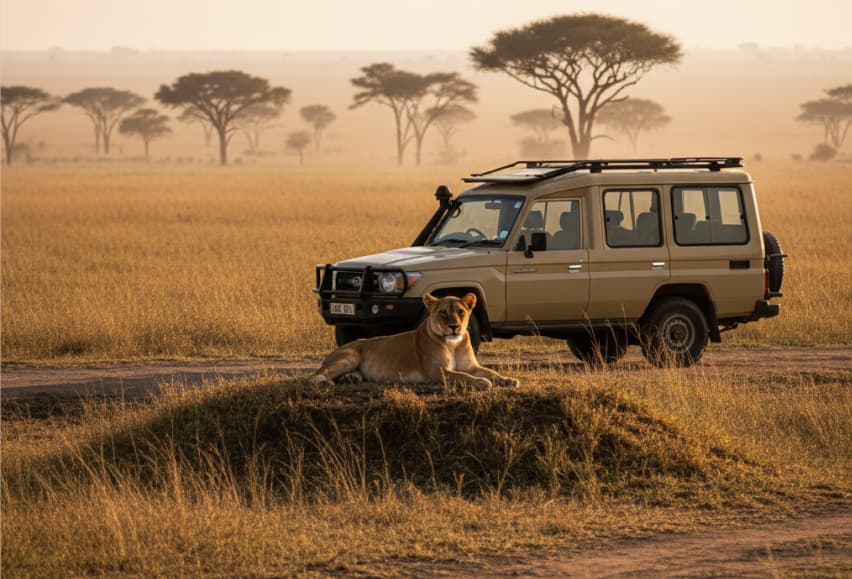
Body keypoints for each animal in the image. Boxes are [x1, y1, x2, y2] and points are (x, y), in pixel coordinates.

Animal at [311, 293, 520, 389]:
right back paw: (325, 382)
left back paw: (350, 378)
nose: (454, 326)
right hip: (350, 356)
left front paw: (508, 380)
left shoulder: (471, 366)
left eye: (461, 312)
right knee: (316, 375)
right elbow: (463, 376)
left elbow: (491, 372)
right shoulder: (437, 372)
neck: (453, 343)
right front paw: (482, 382)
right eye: (443, 313)